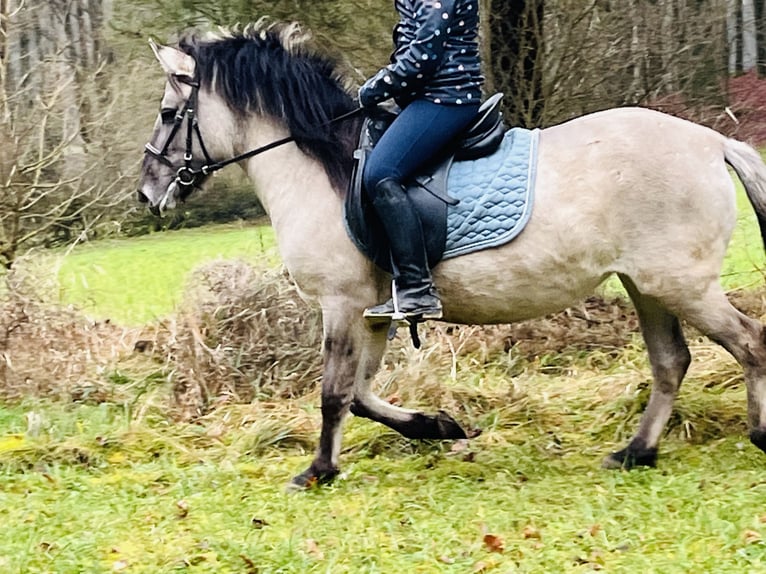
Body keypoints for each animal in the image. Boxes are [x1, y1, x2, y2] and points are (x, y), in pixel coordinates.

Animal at [140, 22, 766, 490]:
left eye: (170, 115)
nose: (148, 194)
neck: (324, 169)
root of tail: (713, 142)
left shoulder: (341, 304)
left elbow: (334, 393)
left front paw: (317, 471)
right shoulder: (373, 312)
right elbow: (360, 395)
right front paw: (440, 427)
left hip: (681, 284)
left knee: (749, 342)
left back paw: (755, 435)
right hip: (647, 285)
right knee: (671, 362)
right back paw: (636, 452)